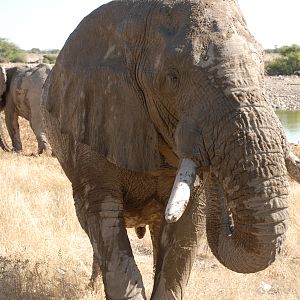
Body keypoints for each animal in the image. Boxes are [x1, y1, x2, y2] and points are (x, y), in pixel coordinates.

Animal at [41, 1, 300, 298]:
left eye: (263, 69)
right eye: (172, 77)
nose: (209, 156)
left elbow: (184, 233)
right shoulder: (95, 117)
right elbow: (105, 220)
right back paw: (92, 287)